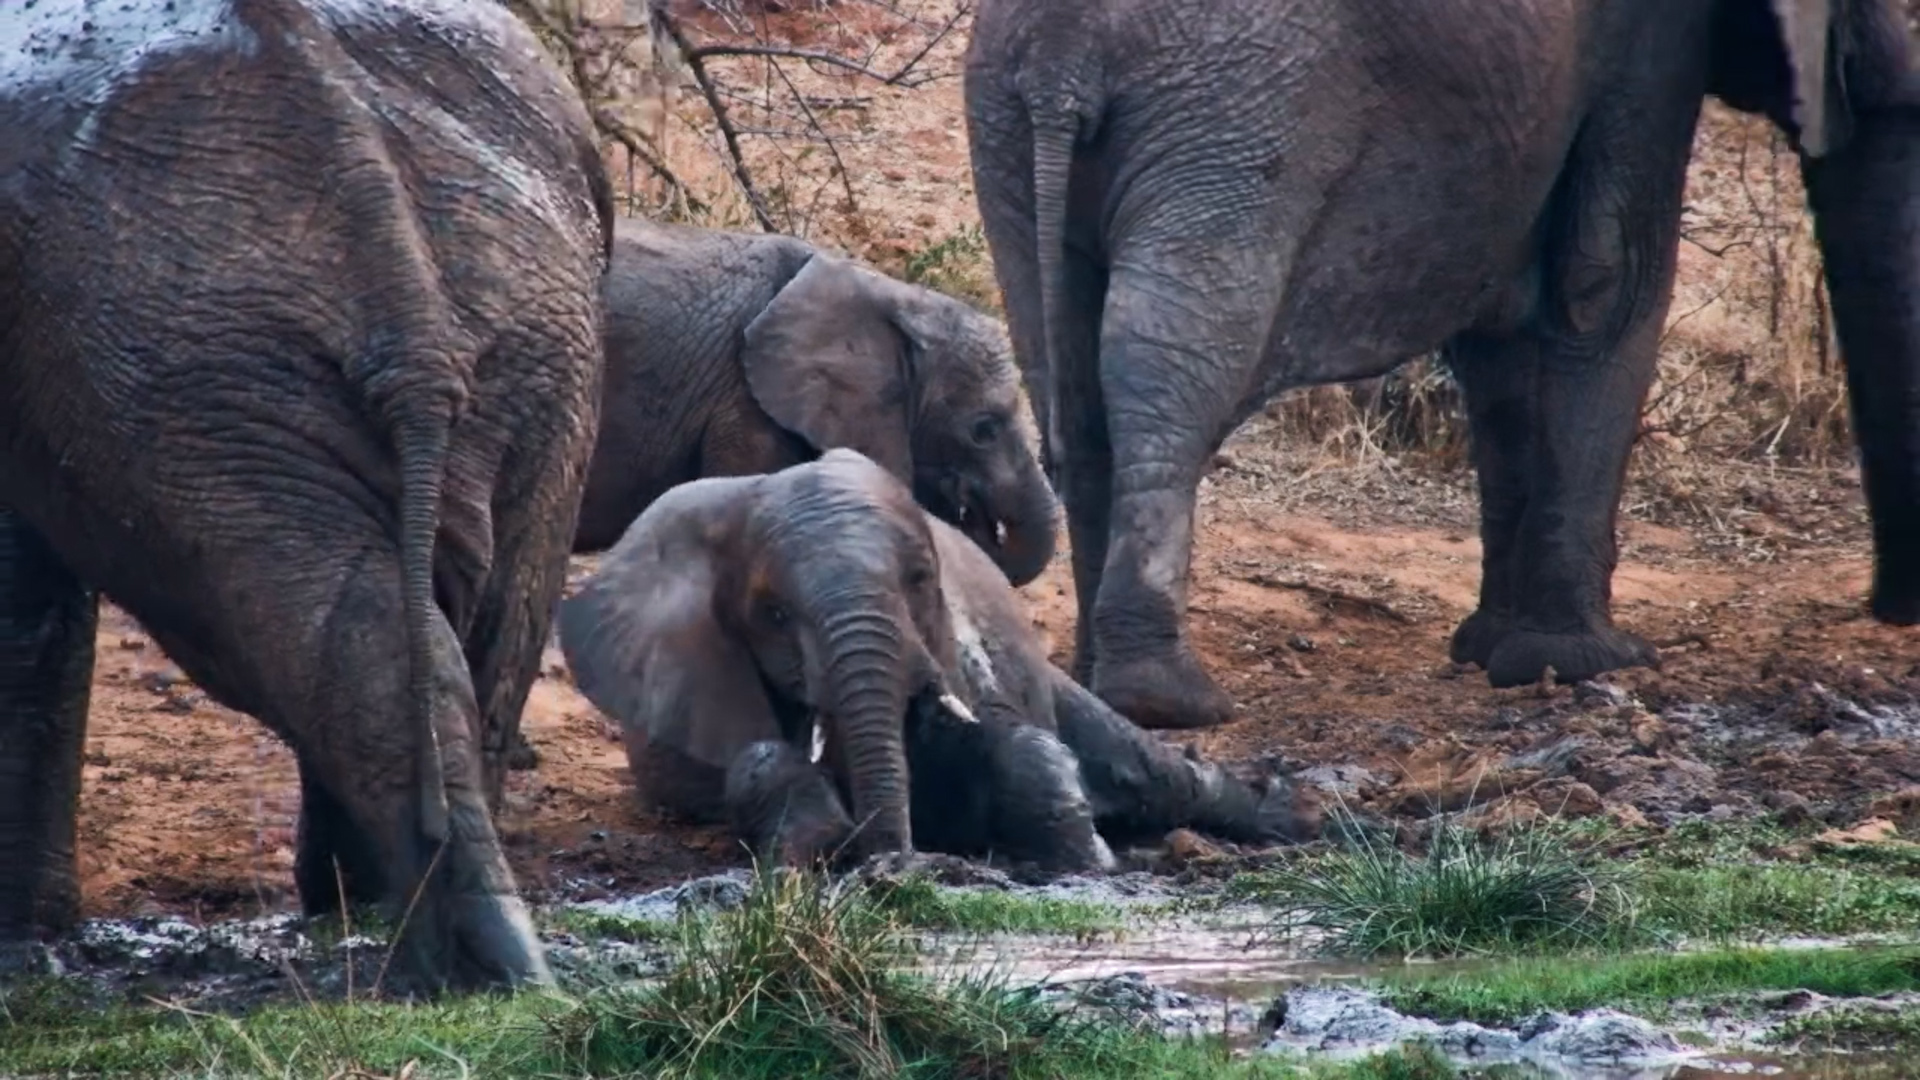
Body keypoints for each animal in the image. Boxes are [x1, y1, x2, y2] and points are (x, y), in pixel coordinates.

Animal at [558, 450, 1319, 868]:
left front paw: (1090, 862)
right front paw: (817, 844)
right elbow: (760, 759)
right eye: (772, 615)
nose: (895, 864)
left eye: (921, 579)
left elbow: (1016, 745)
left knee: (1153, 770)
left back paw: (1305, 823)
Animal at [965, 0, 1920, 730]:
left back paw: (1095, 689)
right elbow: (1606, 281)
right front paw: (1585, 663)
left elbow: (1500, 341)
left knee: (1068, 378)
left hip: (1012, 130)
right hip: (1226, 115)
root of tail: (1060, 60)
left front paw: (1493, 650)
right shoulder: (1645, 44)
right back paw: (1169, 702)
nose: (1893, 614)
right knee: (1167, 364)